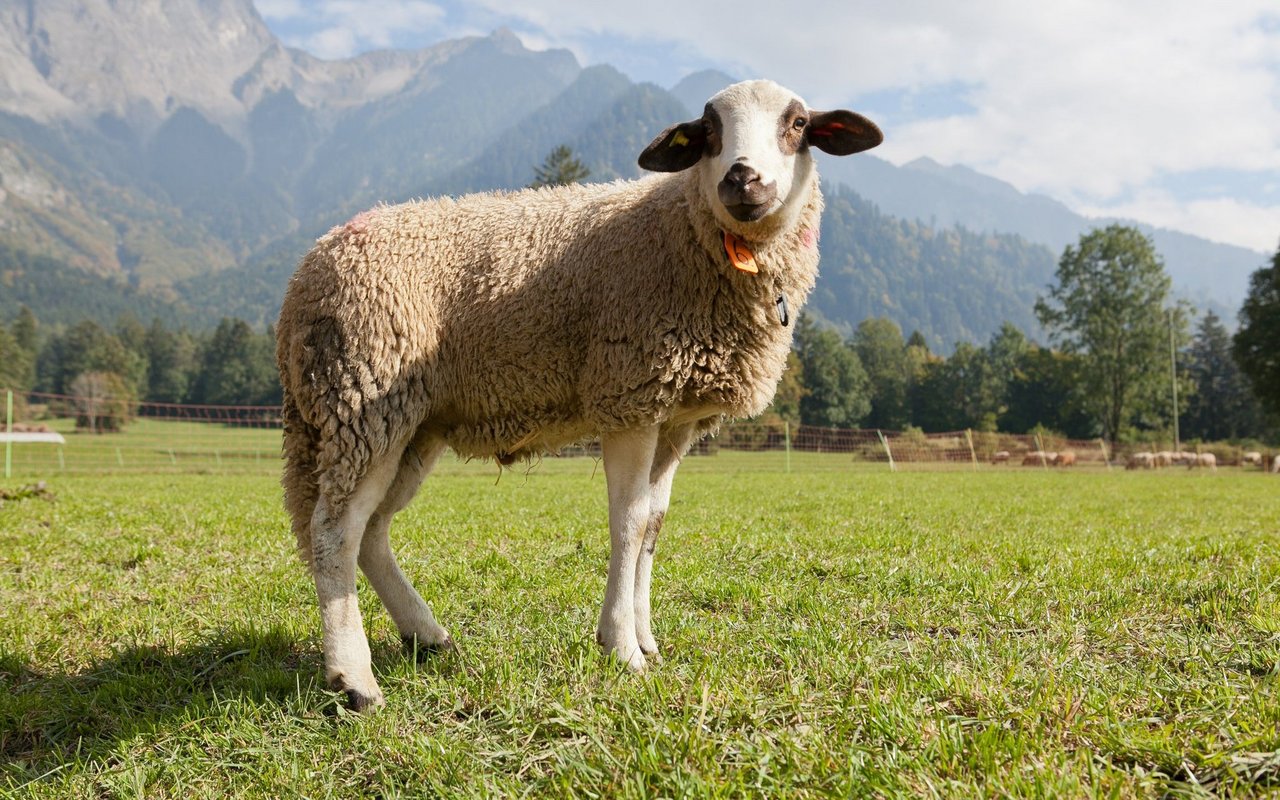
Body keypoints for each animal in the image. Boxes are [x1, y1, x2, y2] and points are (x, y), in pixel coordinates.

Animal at [276, 78, 885, 706]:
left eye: (797, 125)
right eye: (710, 131)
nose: (742, 178)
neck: (686, 237)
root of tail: (304, 275)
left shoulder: (675, 416)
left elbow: (654, 524)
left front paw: (647, 641)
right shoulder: (629, 395)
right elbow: (629, 522)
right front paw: (621, 648)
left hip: (408, 422)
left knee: (370, 533)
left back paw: (427, 637)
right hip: (361, 396)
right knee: (333, 532)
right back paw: (354, 680)